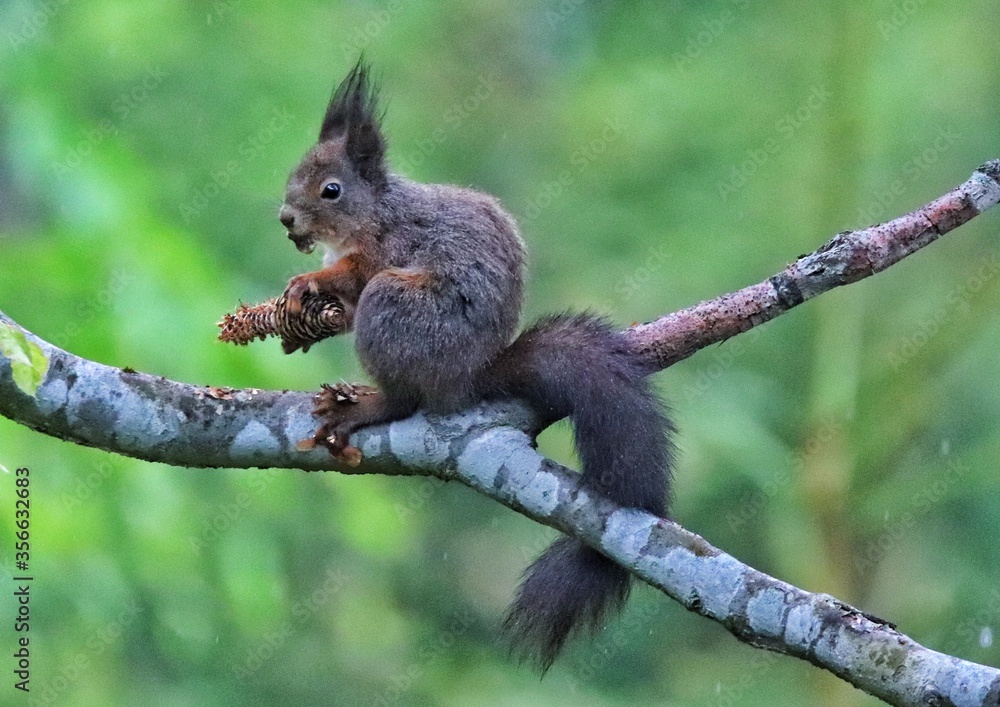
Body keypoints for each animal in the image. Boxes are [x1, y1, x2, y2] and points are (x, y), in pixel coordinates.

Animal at [278, 60, 674, 671]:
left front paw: (308, 283)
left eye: (331, 189)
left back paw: (366, 405)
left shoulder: (387, 252)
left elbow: (352, 279)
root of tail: (467, 378)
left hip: (398, 311)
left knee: (405, 398)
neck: (378, 213)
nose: (286, 219)